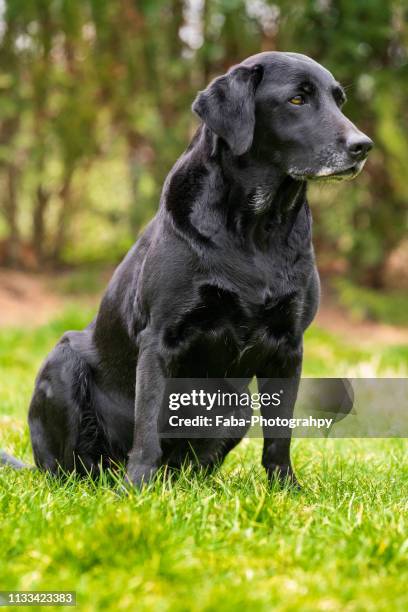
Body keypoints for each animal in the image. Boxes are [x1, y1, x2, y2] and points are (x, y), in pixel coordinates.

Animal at [0, 53, 372, 488]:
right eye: (297, 99)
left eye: (339, 101)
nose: (363, 146)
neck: (255, 227)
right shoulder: (161, 337)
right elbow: (147, 425)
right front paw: (136, 489)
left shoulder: (289, 345)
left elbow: (280, 435)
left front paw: (286, 488)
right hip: (62, 363)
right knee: (77, 467)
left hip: (237, 407)